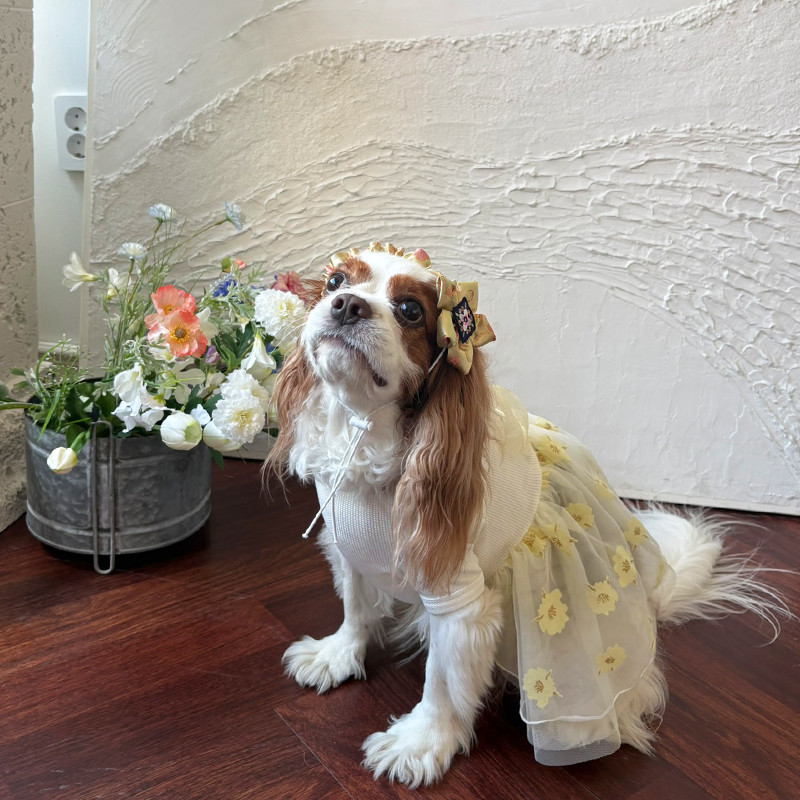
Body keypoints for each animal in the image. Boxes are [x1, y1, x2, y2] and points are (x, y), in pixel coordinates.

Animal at [266, 242, 786, 788]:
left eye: (409, 310)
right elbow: (355, 608)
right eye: (336, 281)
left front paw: (420, 742)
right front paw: (337, 655)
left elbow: (442, 682)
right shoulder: (349, 549)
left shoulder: (458, 599)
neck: (365, 441)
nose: (347, 304)